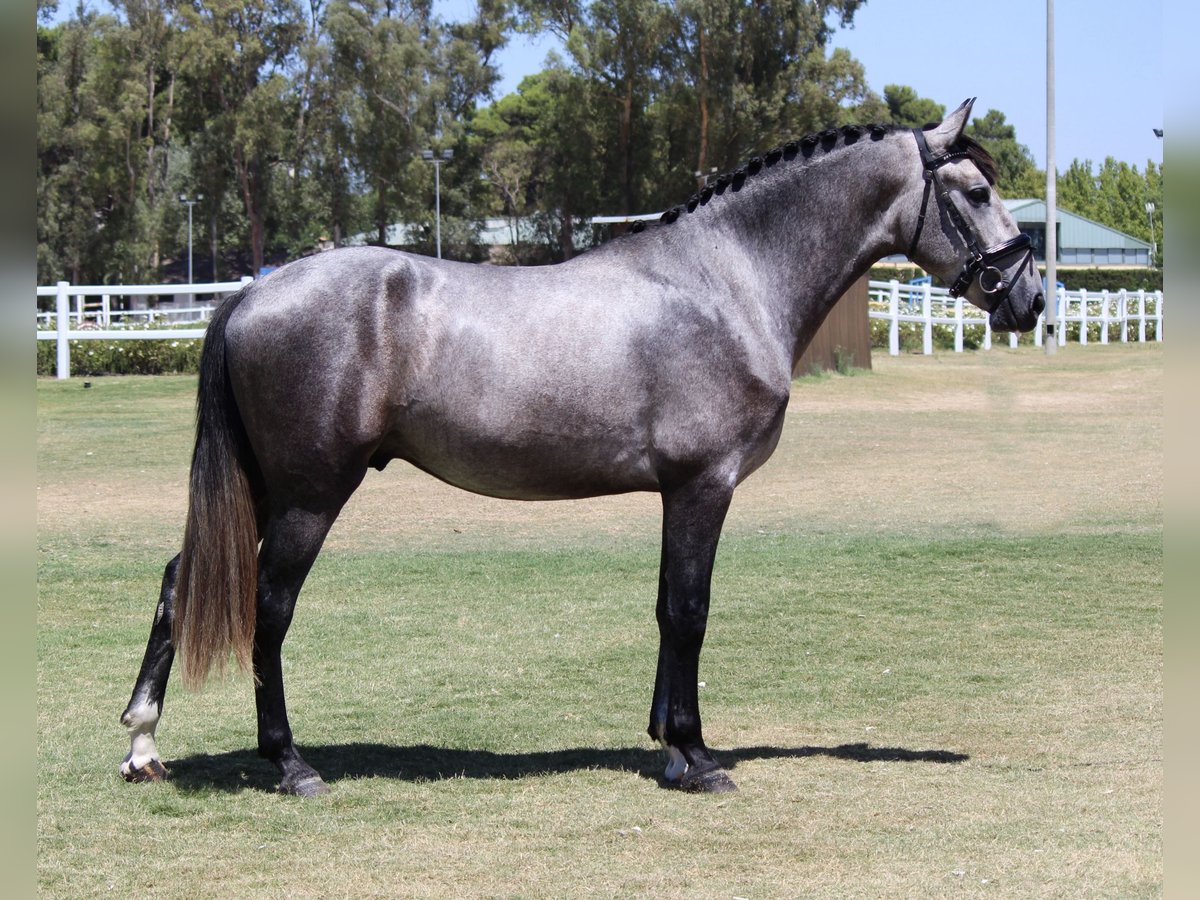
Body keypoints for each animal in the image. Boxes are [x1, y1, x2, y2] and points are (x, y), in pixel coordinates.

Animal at [117, 98, 1046, 796]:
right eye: (972, 190)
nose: (1031, 296)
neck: (726, 280)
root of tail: (251, 293)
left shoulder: (678, 492)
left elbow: (668, 608)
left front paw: (668, 747)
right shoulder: (705, 485)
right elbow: (690, 610)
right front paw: (697, 756)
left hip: (265, 489)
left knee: (179, 582)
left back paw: (142, 745)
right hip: (309, 495)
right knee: (269, 608)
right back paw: (291, 765)